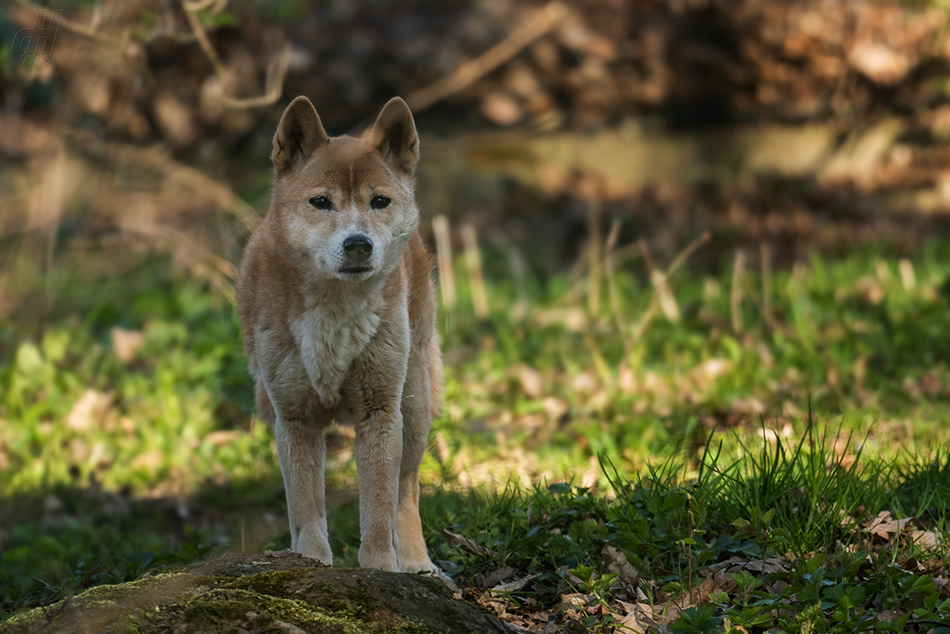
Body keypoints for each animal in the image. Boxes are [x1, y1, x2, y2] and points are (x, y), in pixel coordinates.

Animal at [238, 95, 446, 572]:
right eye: (321, 202)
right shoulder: (294, 417)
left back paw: (417, 563)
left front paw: (380, 569)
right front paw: (311, 562)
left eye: (379, 201)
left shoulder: (379, 411)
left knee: (407, 492)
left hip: (414, 405)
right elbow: (305, 507)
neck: (335, 312)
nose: (358, 244)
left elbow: (379, 505)